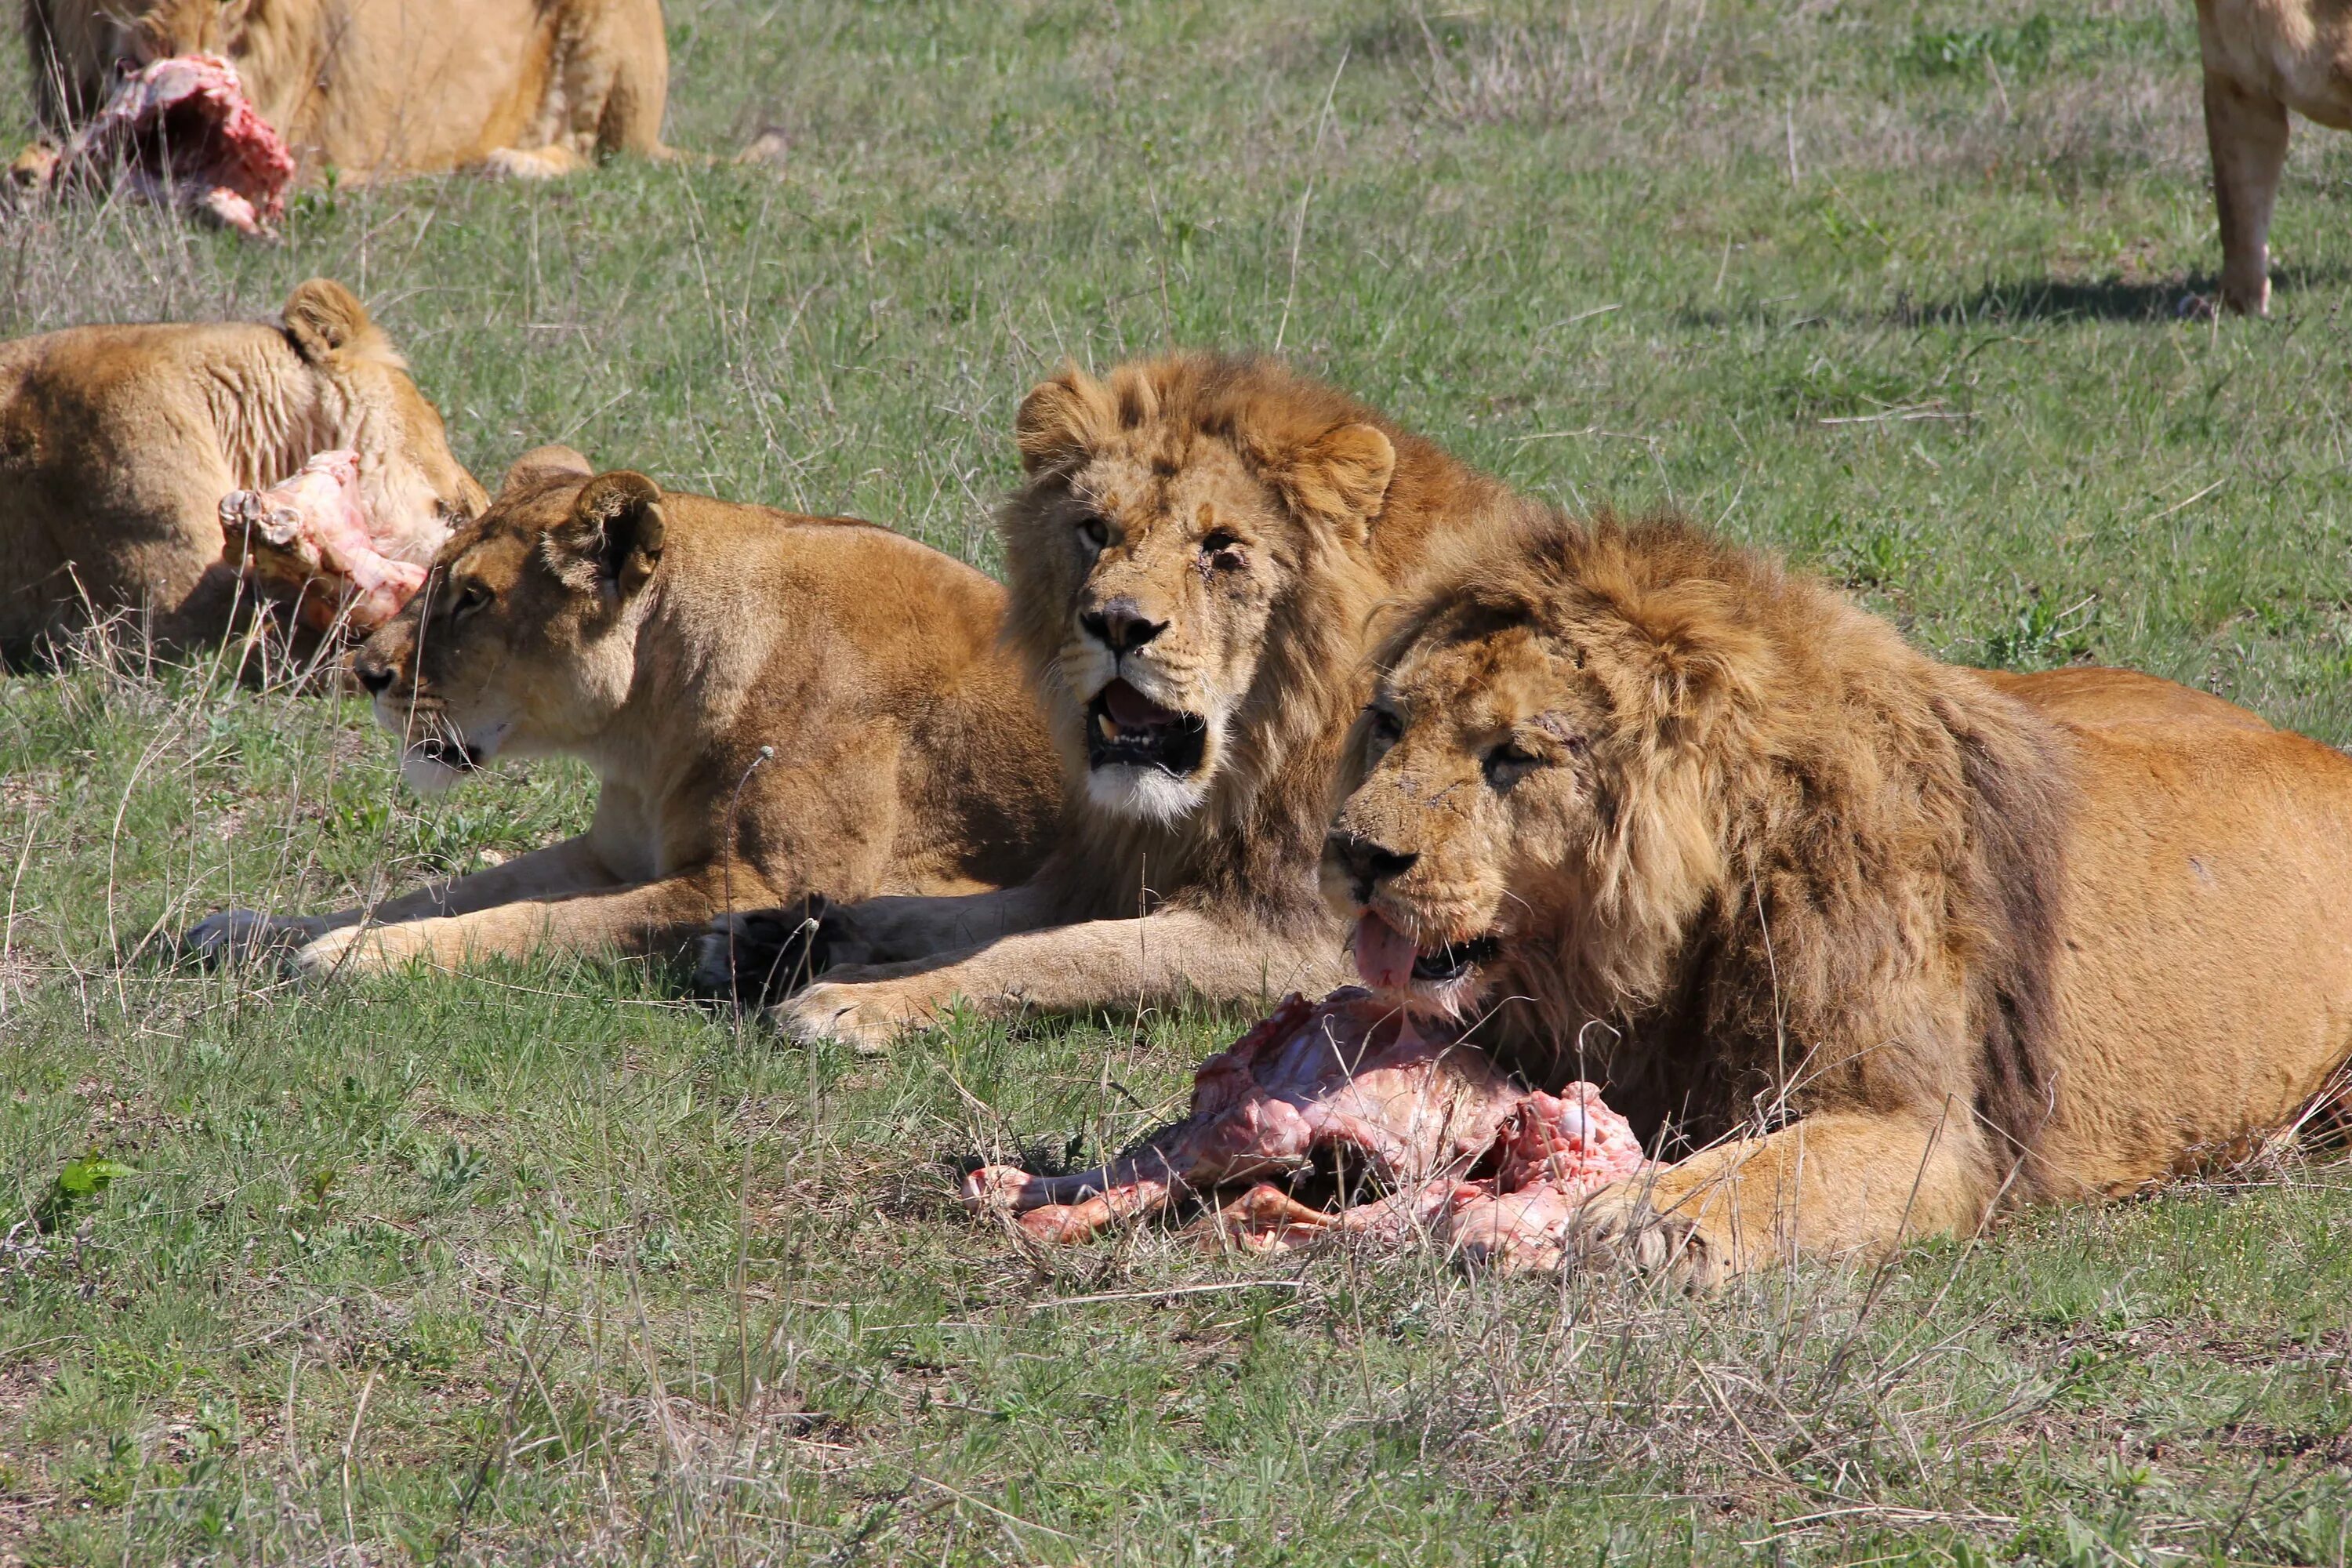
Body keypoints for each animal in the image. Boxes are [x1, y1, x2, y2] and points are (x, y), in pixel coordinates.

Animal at [191, 444, 1058, 982]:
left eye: (474, 598)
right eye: (432, 579)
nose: (365, 673)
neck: (646, 731)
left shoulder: (762, 883)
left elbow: (541, 919)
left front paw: (356, 957)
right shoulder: (609, 852)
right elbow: (448, 890)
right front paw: (251, 929)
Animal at [696, 350, 1534, 1048]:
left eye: (1221, 548)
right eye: (1095, 530)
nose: (1120, 623)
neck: (1251, 764)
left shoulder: (1309, 942)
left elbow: (1062, 953)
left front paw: (858, 998)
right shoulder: (1099, 870)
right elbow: (947, 914)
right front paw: (779, 934)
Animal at [1327, 514, 2352, 1288]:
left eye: (1513, 754)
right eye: (1389, 723)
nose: (1353, 853)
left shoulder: (1929, 1129)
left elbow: (1776, 1166)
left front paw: (1643, 1217)